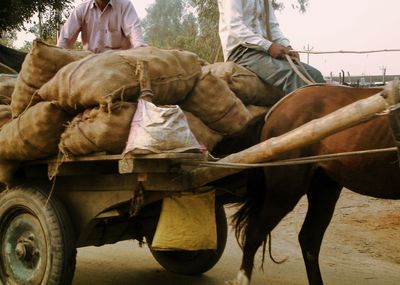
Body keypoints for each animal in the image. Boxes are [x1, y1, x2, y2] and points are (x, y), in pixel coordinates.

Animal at [228, 84, 400, 284]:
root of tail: (277, 108)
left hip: (324, 186)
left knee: (309, 239)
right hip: (285, 189)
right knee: (255, 232)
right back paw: (242, 277)